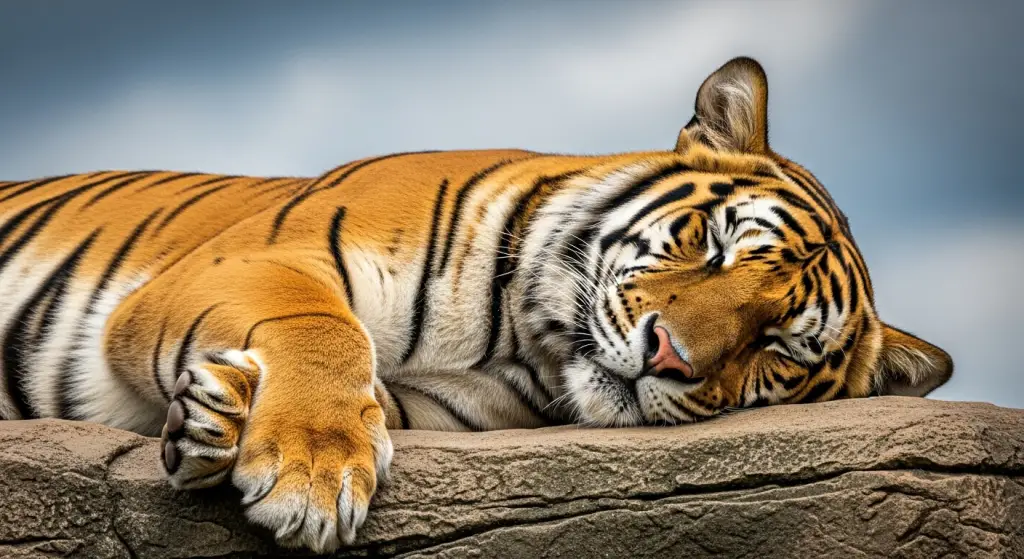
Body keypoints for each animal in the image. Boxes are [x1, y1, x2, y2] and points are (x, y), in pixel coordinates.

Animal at [0, 57, 952, 552]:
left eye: (778, 347)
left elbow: (365, 391)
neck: (520, 337)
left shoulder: (438, 408)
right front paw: (307, 468)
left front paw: (220, 415)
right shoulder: (259, 257)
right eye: (715, 244)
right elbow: (323, 330)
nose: (668, 356)